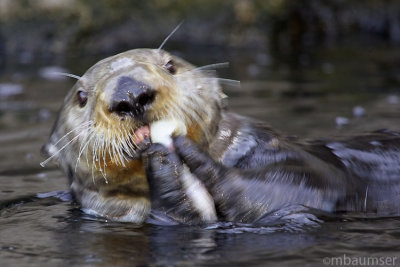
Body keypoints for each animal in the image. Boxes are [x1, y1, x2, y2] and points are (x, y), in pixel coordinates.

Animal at [42, 47, 400, 224]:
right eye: (81, 97)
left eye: (170, 65)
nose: (130, 93)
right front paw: (168, 175)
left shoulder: (302, 167)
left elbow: (291, 186)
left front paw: (190, 155)